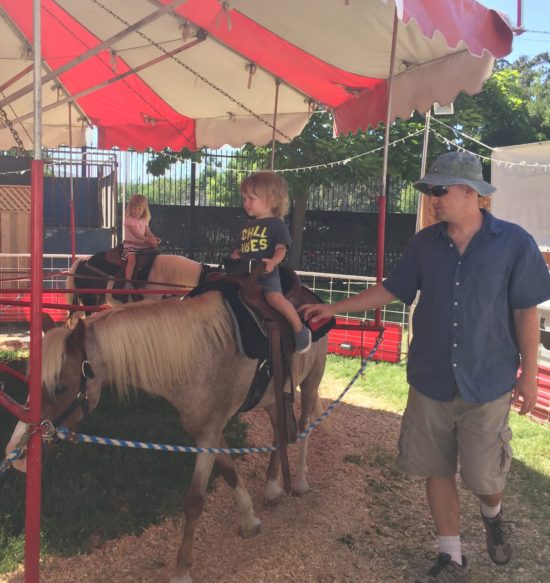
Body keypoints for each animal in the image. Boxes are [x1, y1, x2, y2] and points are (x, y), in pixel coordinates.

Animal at [6, 296, 330, 583]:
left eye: (61, 387)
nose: (17, 452)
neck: (198, 355)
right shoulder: (209, 431)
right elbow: (229, 471)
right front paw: (249, 520)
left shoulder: (208, 434)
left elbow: (194, 500)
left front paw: (182, 571)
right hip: (273, 398)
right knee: (278, 431)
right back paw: (273, 487)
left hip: (310, 382)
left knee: (305, 427)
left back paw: (300, 482)